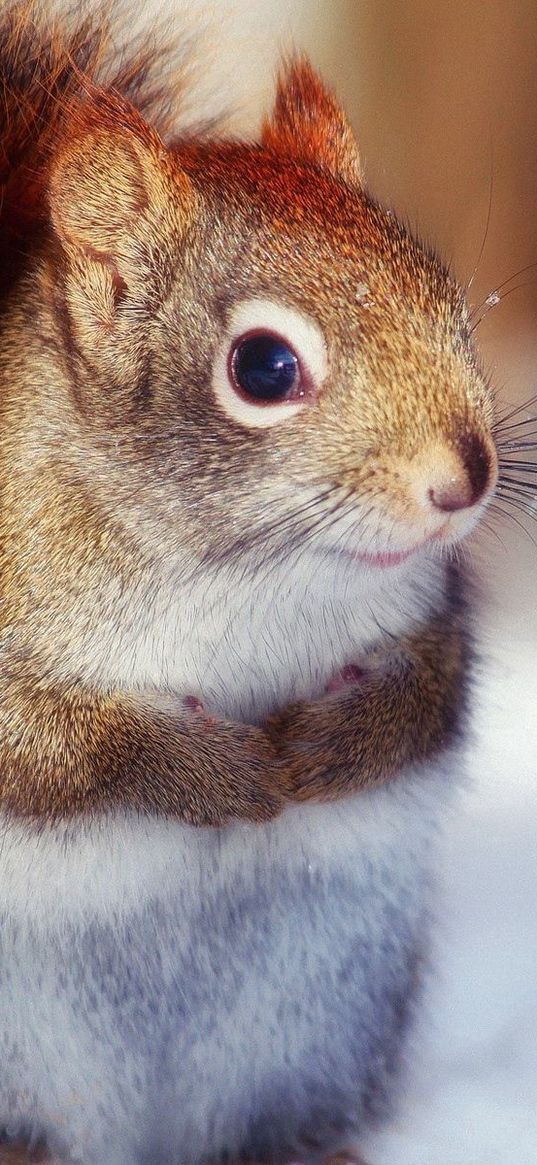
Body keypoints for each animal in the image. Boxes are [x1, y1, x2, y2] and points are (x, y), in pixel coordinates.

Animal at [0, 2, 498, 1165]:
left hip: (309, 1027)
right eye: (265, 368)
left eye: (448, 302)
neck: (239, 576)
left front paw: (333, 745)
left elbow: (433, 689)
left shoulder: (432, 609)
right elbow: (50, 745)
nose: (469, 477)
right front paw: (215, 771)